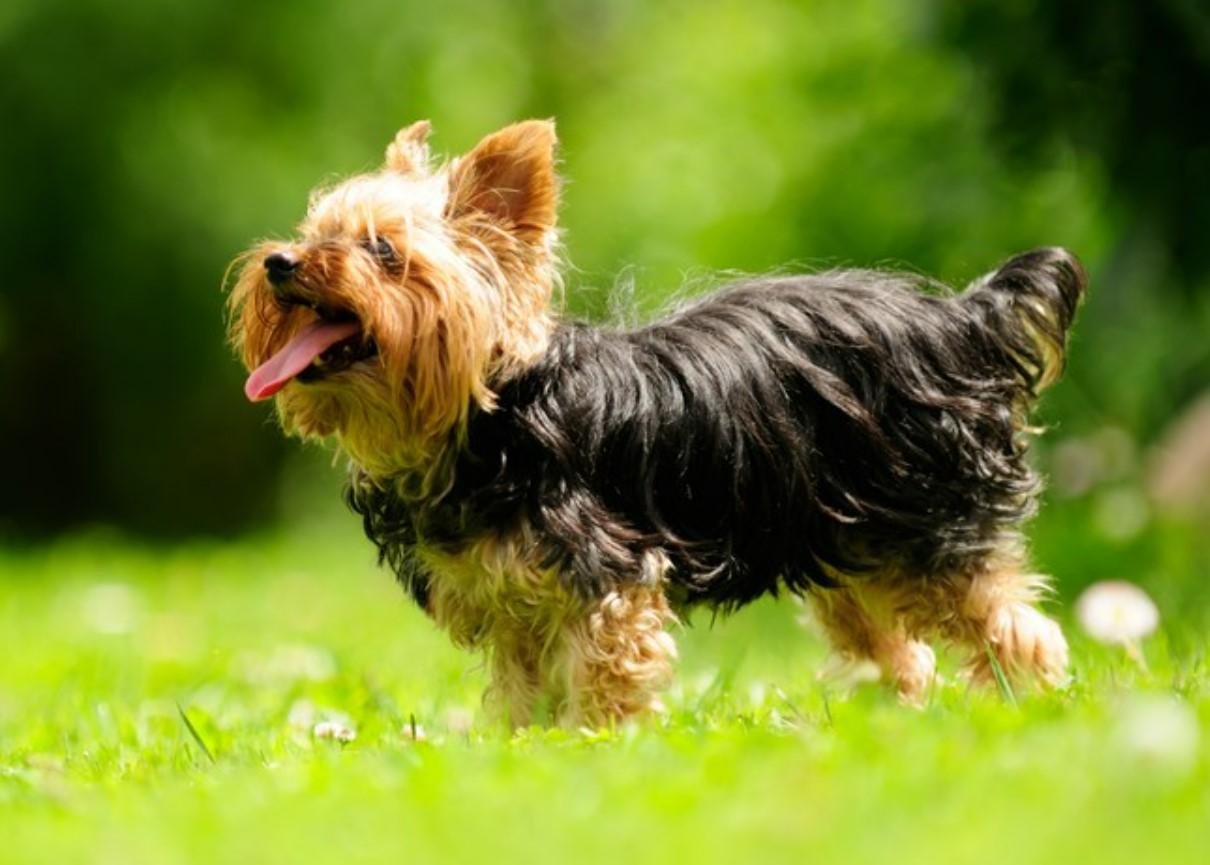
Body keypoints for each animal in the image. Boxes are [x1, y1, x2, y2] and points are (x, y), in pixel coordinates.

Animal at [228, 118, 1089, 725]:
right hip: (845, 545)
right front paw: (519, 754)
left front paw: (594, 748)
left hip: (930, 527)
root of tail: (962, 318)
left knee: (1019, 630)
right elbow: (520, 696)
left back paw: (1032, 711)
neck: (485, 419)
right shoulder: (513, 609)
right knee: (899, 655)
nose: (280, 262)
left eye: (382, 251)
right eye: (314, 235)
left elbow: (604, 679)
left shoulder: (608, 578)